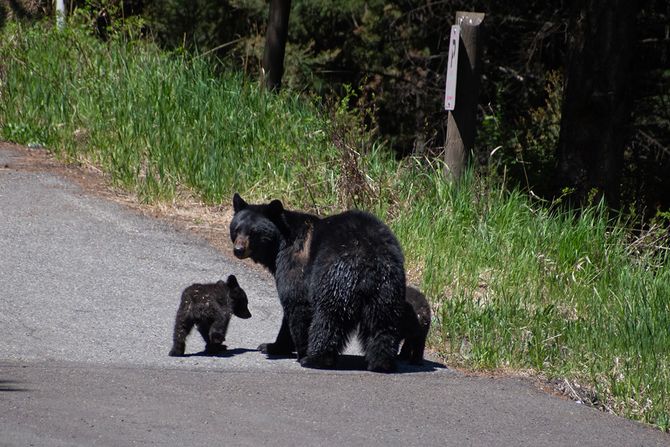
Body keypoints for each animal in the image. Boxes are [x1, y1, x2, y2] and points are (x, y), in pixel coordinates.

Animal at [231, 194, 404, 372]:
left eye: (253, 232)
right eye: (236, 229)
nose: (238, 250)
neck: (279, 244)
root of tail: (369, 261)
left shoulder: (295, 263)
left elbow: (296, 303)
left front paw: (292, 349)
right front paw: (270, 346)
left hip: (335, 277)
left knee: (329, 319)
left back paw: (314, 359)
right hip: (387, 287)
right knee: (382, 322)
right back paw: (381, 362)